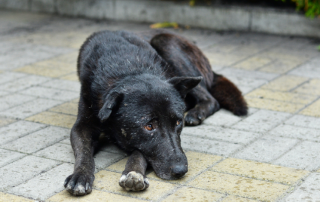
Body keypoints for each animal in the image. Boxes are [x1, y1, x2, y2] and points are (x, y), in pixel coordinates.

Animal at [63, 30, 248, 196]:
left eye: (178, 122)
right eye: (149, 126)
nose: (181, 170)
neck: (128, 68)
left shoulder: (142, 144)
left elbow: (139, 153)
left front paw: (134, 173)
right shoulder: (82, 126)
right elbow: (84, 153)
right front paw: (80, 176)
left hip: (166, 43)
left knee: (211, 99)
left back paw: (197, 113)